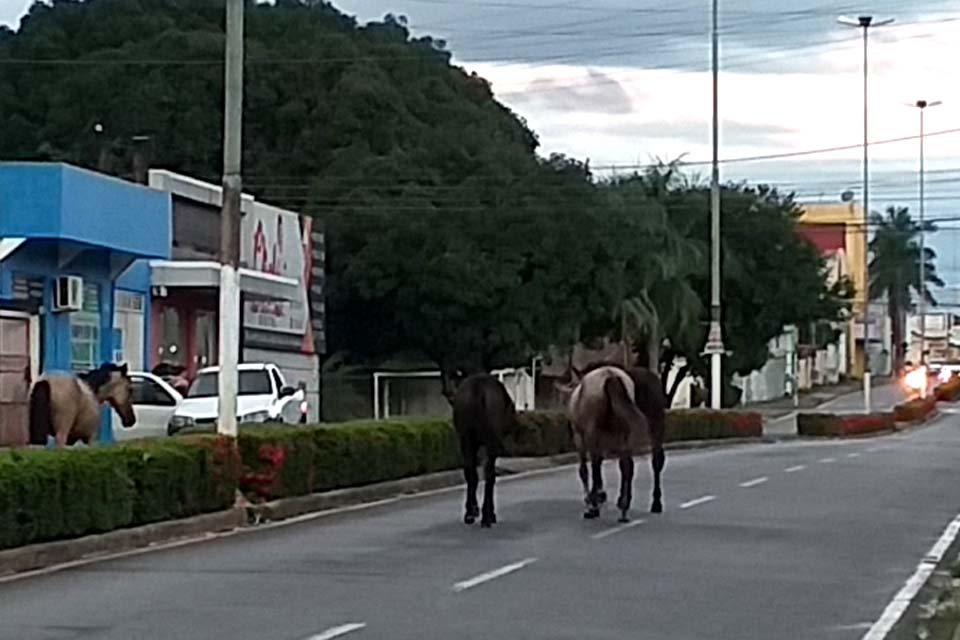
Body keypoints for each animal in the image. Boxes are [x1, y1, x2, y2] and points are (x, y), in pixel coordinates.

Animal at [444, 372, 516, 528]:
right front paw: (490, 513)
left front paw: (473, 510)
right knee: (489, 474)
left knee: (470, 472)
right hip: (490, 442)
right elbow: (490, 475)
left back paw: (470, 513)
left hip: (466, 439)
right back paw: (486, 517)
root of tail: (478, 390)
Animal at [556, 362, 668, 524]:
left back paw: (598, 503)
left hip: (595, 432)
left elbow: (585, 470)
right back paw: (634, 506)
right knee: (635, 464)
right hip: (638, 430)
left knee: (599, 465)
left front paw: (593, 501)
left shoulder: (581, 437)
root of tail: (611, 376)